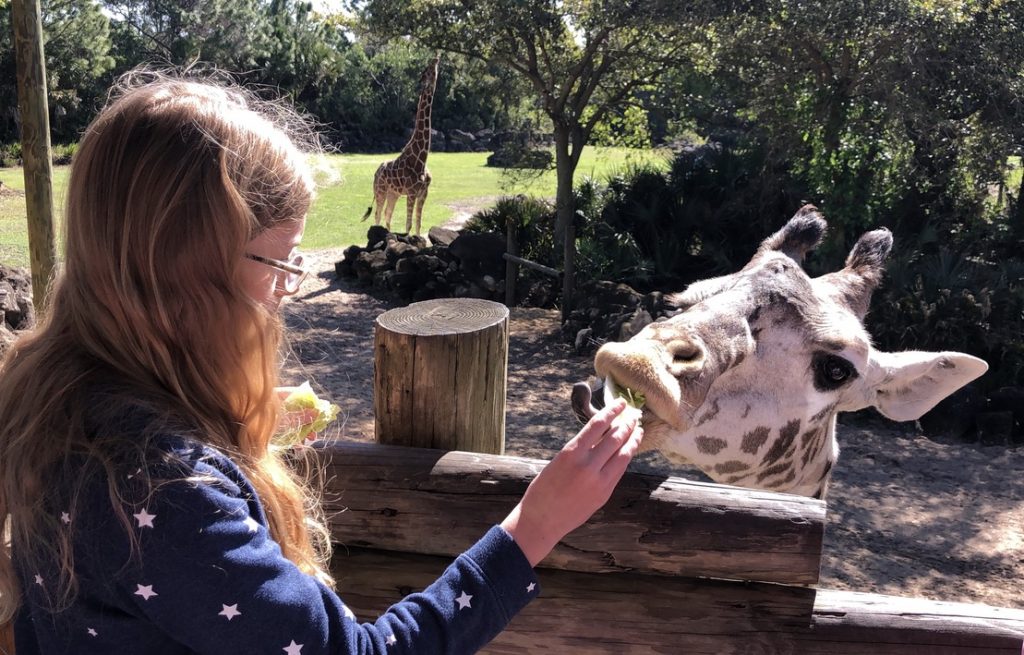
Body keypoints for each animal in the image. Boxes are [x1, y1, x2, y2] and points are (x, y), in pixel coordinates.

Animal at [360, 54, 440, 235]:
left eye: (432, 68)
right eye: (427, 69)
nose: (436, 58)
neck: (421, 158)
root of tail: (376, 172)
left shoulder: (423, 193)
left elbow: (418, 224)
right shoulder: (411, 193)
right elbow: (408, 225)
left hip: (393, 193)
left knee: (387, 215)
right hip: (381, 190)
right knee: (378, 214)